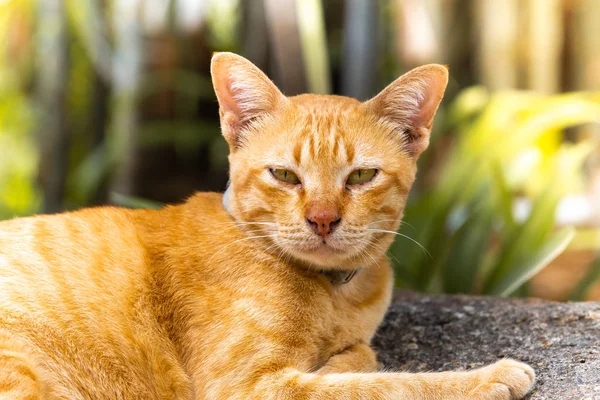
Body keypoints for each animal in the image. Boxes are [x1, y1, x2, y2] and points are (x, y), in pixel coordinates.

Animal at [0, 51, 536, 398]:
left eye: (361, 176)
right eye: (284, 175)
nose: (323, 219)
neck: (336, 295)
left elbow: (361, 359)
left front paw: (340, 357)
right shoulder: (249, 386)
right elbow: (386, 386)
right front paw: (489, 376)